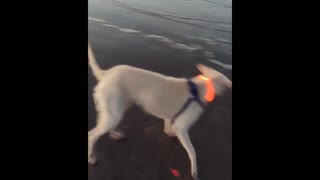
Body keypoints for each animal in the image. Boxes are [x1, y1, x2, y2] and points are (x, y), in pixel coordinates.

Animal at [88, 41, 232, 180]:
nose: (224, 92)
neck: (199, 87)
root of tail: (107, 73)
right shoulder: (182, 127)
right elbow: (192, 151)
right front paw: (194, 171)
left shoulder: (169, 119)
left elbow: (168, 129)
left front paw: (171, 134)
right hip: (114, 112)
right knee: (92, 135)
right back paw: (91, 158)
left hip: (117, 109)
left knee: (107, 124)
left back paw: (114, 134)